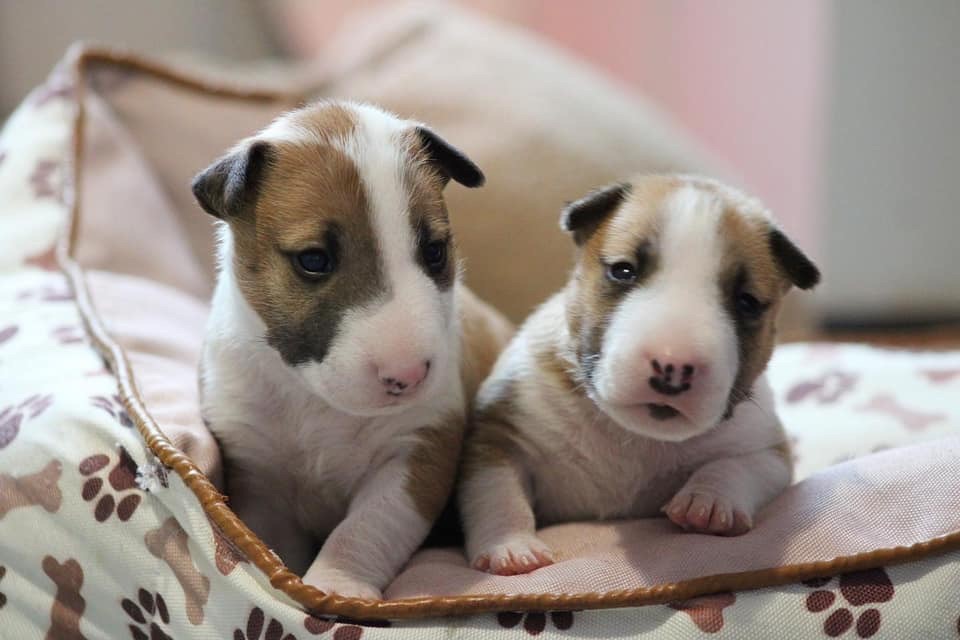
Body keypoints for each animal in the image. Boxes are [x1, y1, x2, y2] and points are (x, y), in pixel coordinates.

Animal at [191, 101, 512, 600]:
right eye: (314, 260)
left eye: (435, 251)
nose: (409, 377)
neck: (315, 401)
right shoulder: (258, 476)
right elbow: (273, 541)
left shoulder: (416, 454)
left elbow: (365, 527)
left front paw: (337, 587)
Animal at [458, 174, 816, 576]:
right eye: (623, 270)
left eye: (747, 302)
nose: (673, 367)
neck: (630, 435)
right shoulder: (501, 433)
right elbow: (497, 489)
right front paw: (511, 548)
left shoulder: (764, 447)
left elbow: (739, 467)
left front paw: (707, 503)